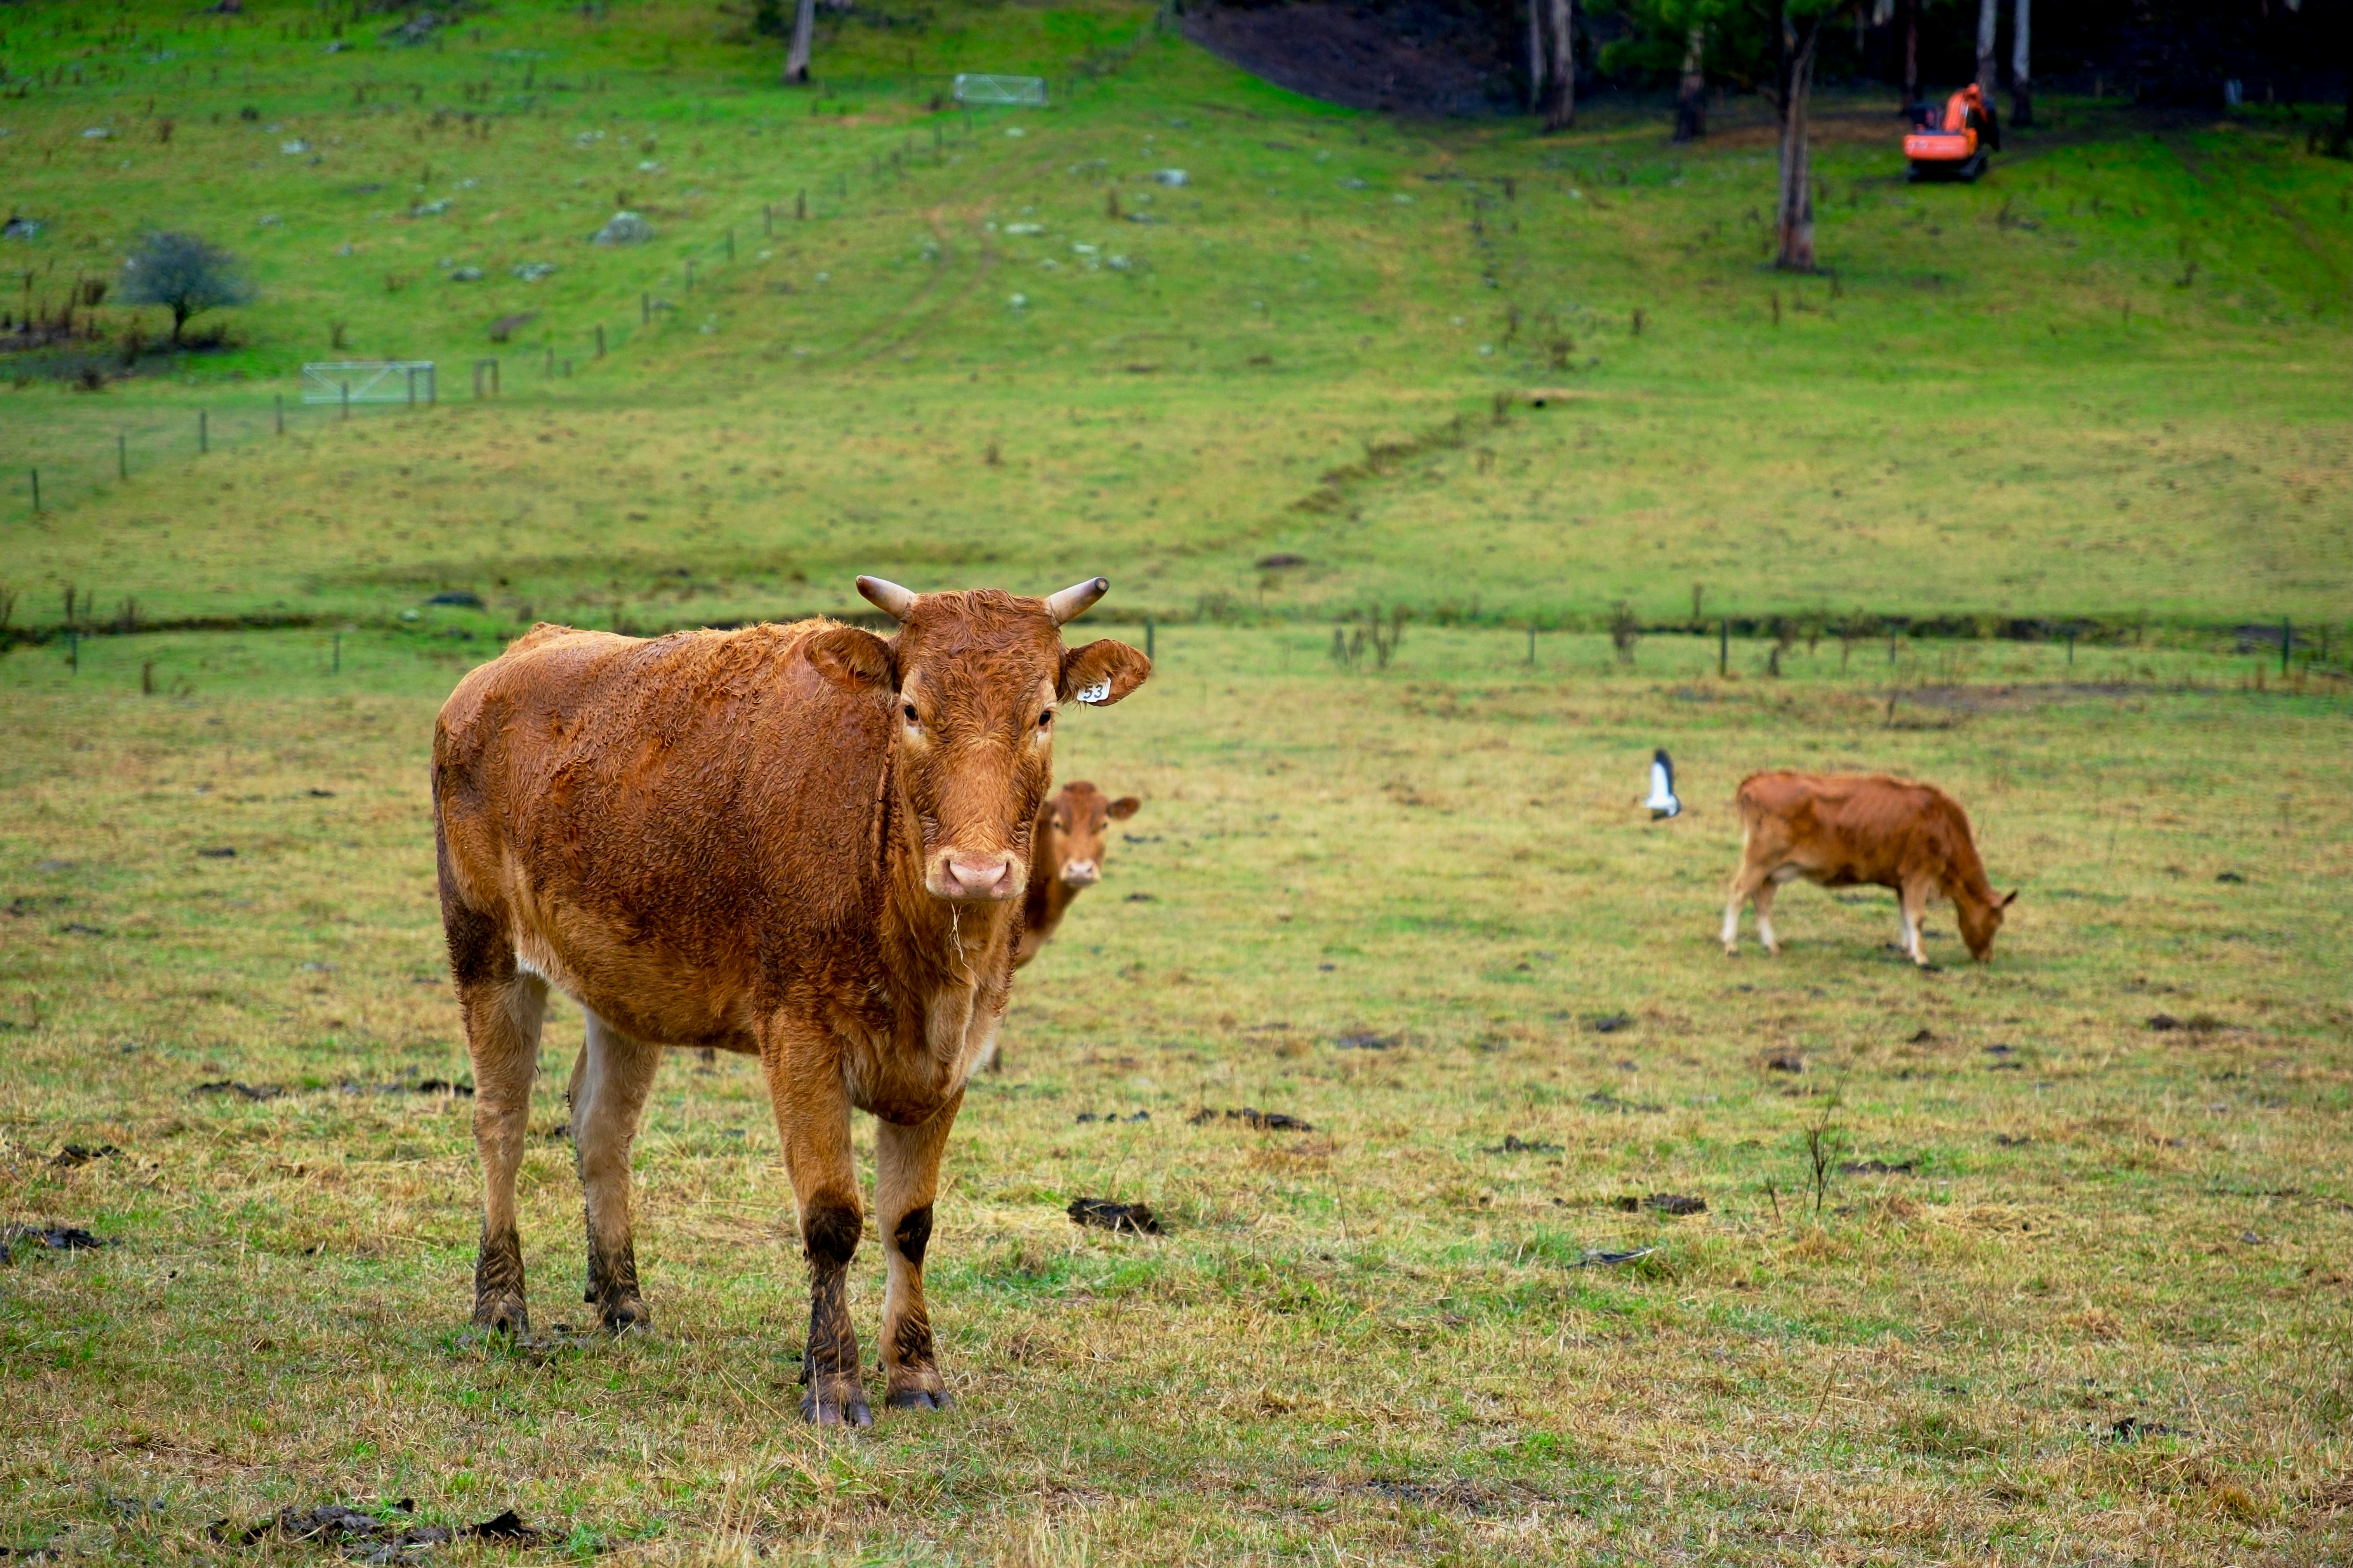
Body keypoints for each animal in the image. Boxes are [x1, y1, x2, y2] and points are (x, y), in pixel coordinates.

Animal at [1721, 771, 2017, 968]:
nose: (1987, 958)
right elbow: (1918, 917)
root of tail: (1756, 779)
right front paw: (1921, 958)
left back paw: (1771, 945)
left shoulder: (1902, 882)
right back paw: (1730, 945)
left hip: (1773, 871)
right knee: (1738, 892)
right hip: (1760, 860)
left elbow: (1905, 916)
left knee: (1762, 900)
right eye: (1998, 921)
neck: (1943, 823)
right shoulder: (1919, 875)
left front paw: (1907, 950)